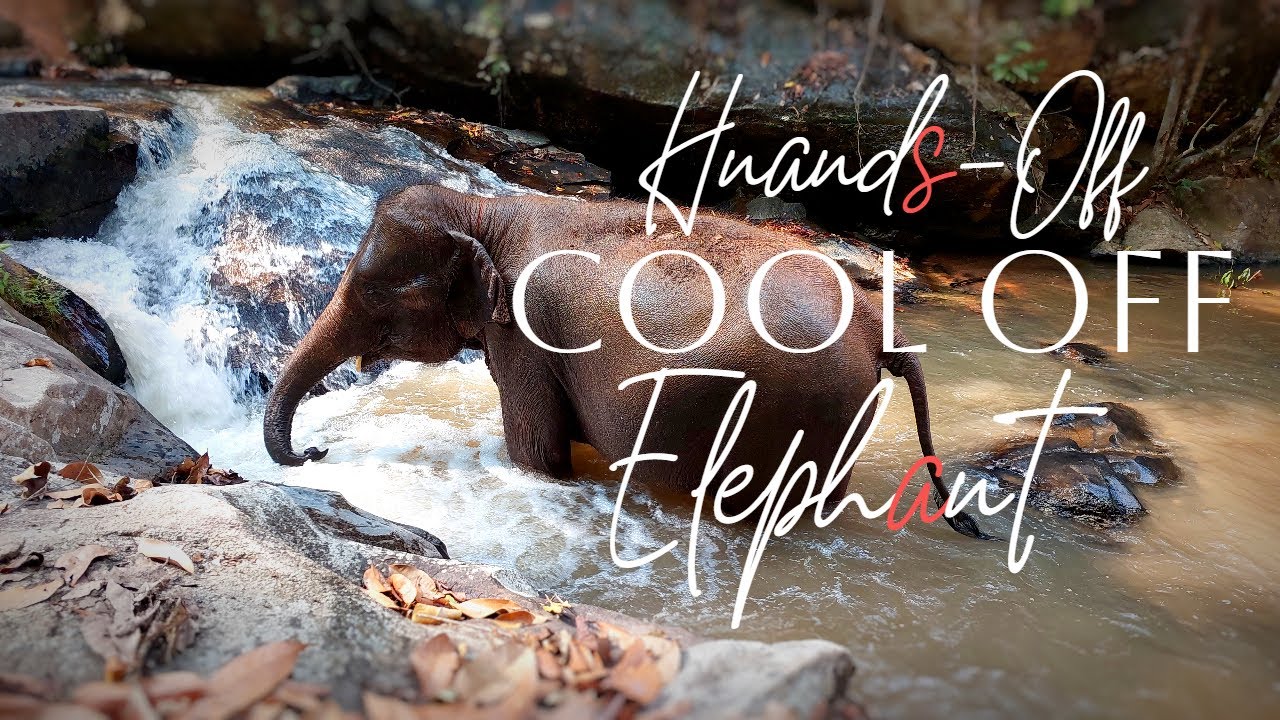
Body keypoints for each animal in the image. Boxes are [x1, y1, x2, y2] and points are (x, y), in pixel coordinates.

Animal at [264, 184, 982, 538]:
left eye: (376, 297)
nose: (318, 451)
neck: (486, 212)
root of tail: (876, 325)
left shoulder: (525, 335)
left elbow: (535, 452)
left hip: (800, 407)